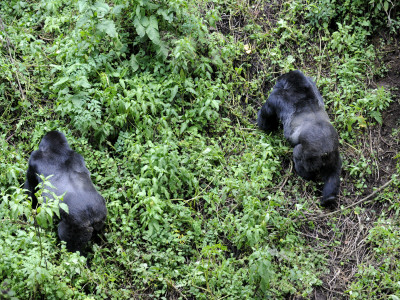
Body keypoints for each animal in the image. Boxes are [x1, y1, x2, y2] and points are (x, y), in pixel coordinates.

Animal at [256, 70, 340, 206]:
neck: (299, 87)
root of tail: (325, 151)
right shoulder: (310, 82)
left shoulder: (276, 96)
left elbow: (265, 121)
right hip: (333, 154)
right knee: (333, 174)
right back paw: (329, 198)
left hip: (311, 156)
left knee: (297, 153)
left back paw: (304, 175)